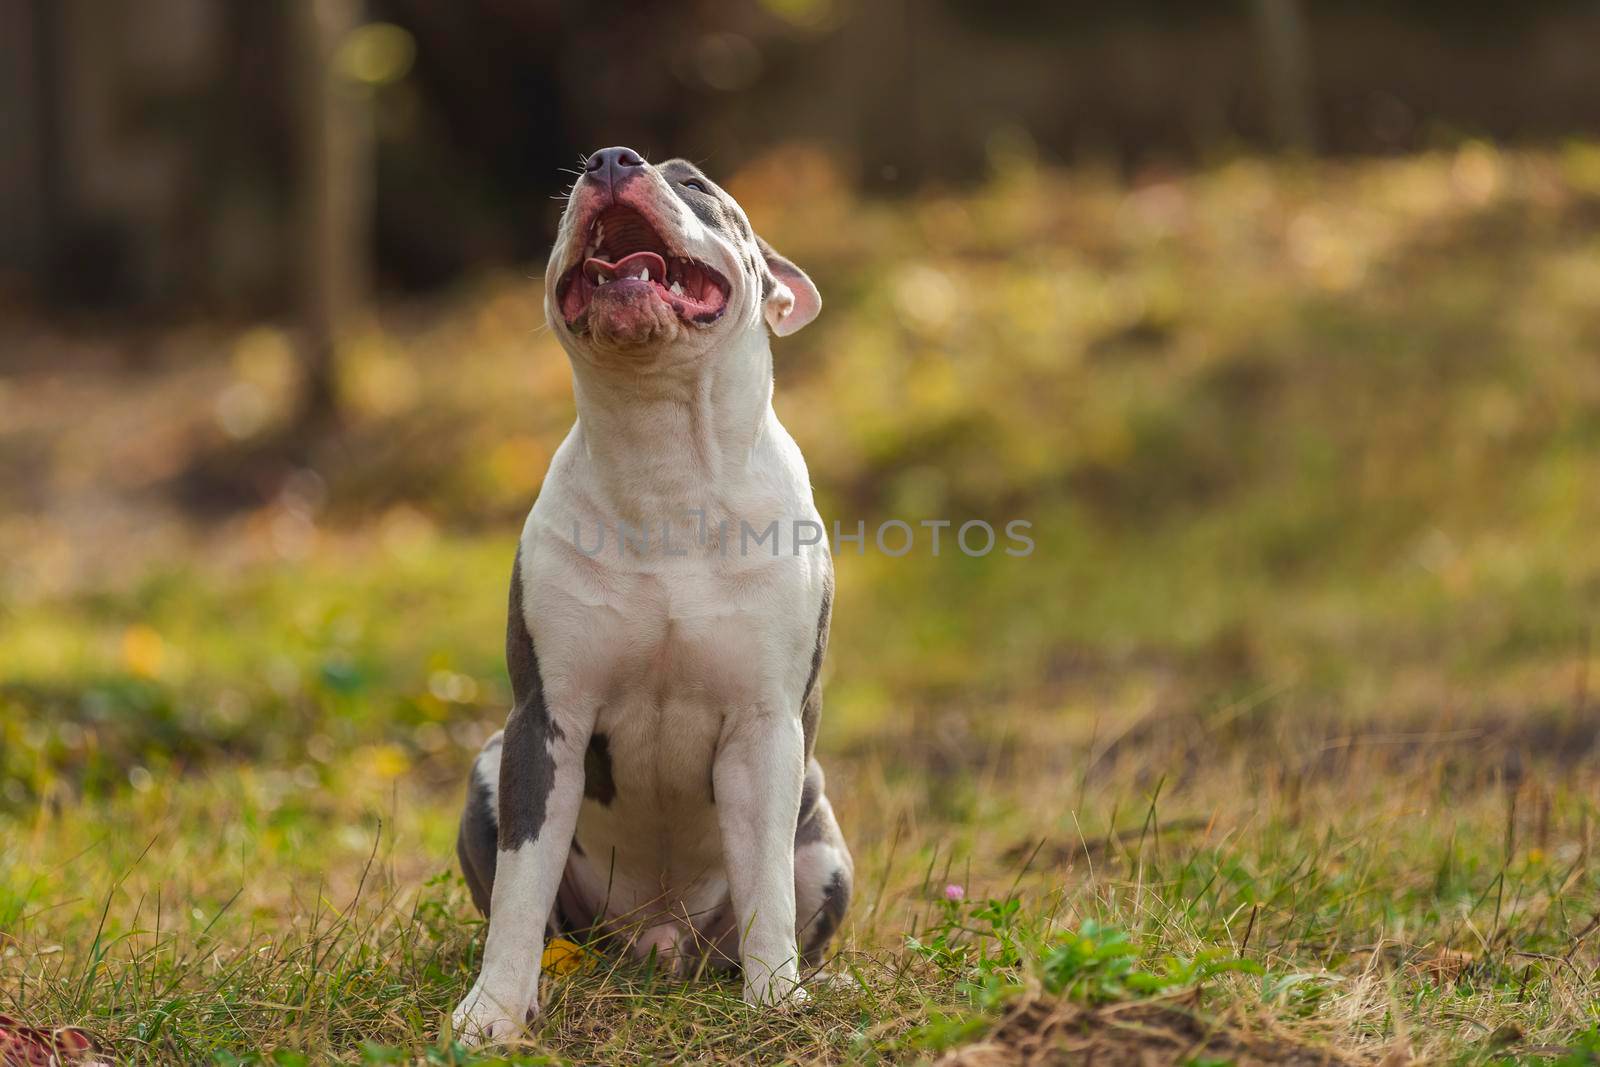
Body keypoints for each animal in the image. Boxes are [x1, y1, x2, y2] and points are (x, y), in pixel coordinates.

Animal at [451, 146, 851, 1036]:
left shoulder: (766, 726)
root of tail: (660, 940)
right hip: (491, 768)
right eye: (570, 191)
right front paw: (493, 1011)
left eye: (694, 183)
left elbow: (767, 883)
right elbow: (521, 887)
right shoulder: (546, 719)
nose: (608, 159)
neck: (664, 458)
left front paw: (777, 998)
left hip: (823, 838)